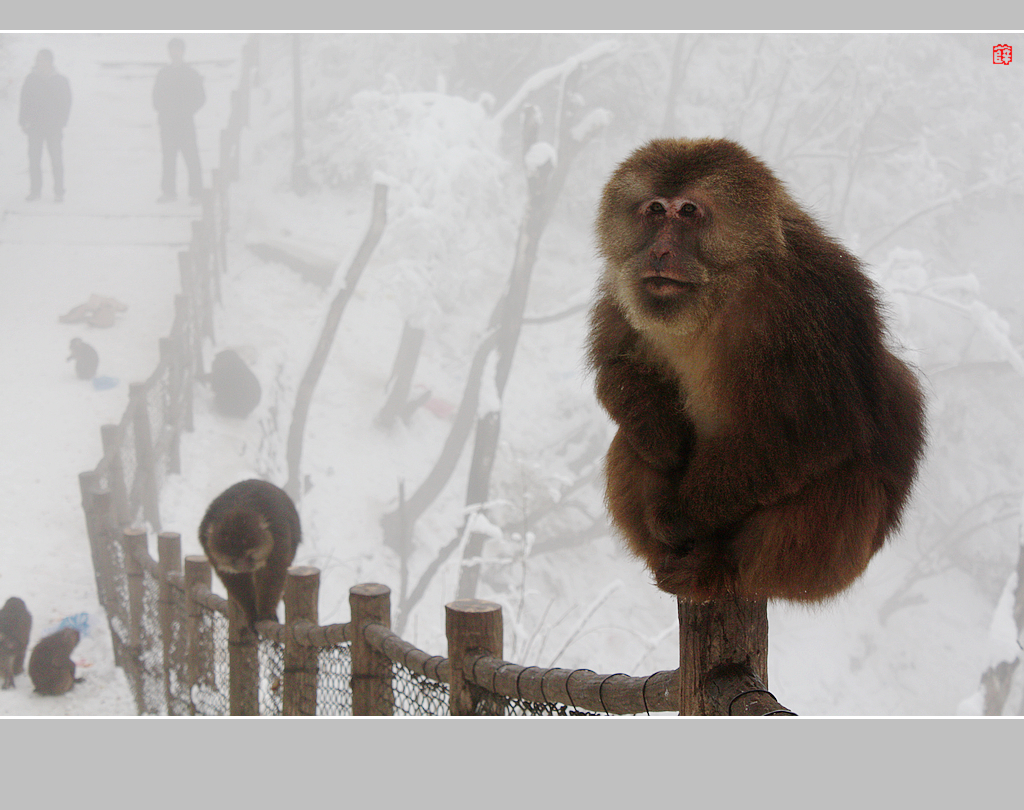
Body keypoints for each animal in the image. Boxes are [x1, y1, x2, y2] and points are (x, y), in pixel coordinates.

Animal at [196, 481, 299, 626]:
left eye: (250, 555)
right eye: (232, 559)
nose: (243, 567)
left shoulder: (279, 538)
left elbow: (272, 573)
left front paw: (266, 611)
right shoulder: (210, 549)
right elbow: (234, 578)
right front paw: (250, 611)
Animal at [585, 139, 929, 606]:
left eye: (688, 211)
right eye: (655, 210)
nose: (659, 251)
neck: (722, 294)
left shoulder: (812, 307)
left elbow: (809, 432)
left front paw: (679, 516)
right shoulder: (624, 291)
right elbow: (616, 367)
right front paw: (663, 434)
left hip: (826, 568)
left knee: (849, 482)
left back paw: (719, 571)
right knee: (629, 442)